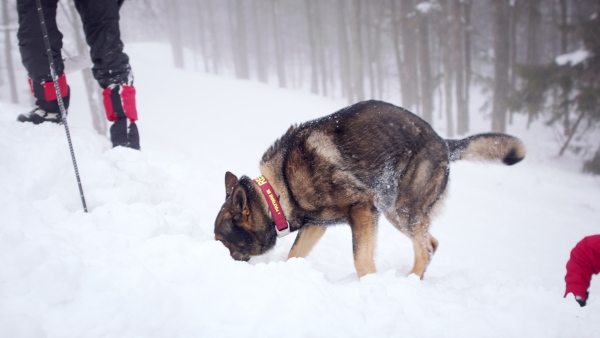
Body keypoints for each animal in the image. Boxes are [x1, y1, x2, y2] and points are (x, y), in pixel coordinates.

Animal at [216, 100, 524, 280]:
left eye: (222, 241)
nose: (221, 265)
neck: (278, 192)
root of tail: (444, 144)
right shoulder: (318, 224)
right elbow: (294, 254)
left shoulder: (362, 209)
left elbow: (361, 261)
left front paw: (369, 285)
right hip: (395, 212)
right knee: (432, 244)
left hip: (403, 210)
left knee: (424, 248)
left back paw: (410, 281)